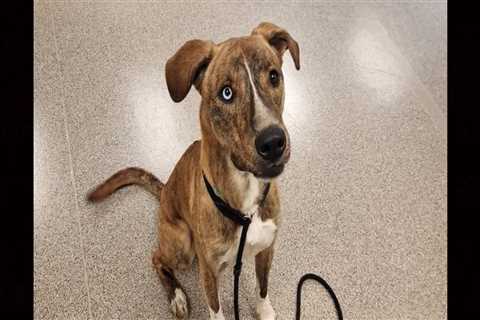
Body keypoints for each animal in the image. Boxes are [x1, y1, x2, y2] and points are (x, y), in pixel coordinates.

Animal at [87, 21, 300, 318]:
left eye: (273, 76)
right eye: (226, 93)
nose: (273, 143)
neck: (245, 204)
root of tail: (165, 189)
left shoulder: (267, 248)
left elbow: (263, 286)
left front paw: (264, 311)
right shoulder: (209, 272)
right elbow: (216, 308)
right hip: (183, 245)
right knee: (156, 257)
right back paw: (176, 296)